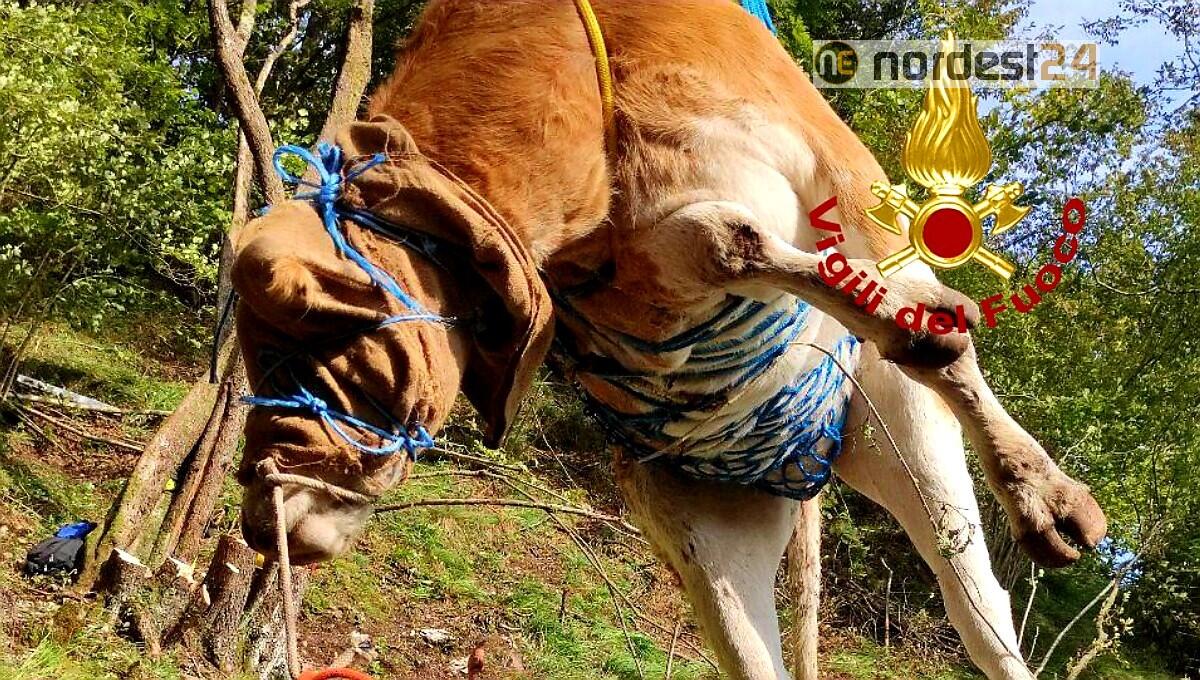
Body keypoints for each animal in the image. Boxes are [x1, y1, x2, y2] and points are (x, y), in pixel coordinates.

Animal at [231, 2, 1106, 678]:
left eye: (340, 336)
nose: (261, 518)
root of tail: (806, 467)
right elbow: (727, 241)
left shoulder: (836, 162)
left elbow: (914, 305)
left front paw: (1046, 489)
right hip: (706, 533)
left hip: (898, 428)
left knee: (984, 621)